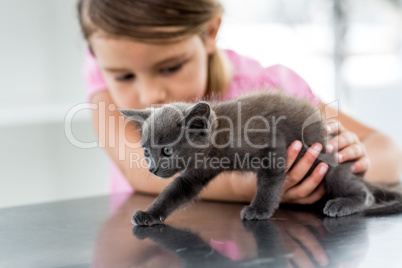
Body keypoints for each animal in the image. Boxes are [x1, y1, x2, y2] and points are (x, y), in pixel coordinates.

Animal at [119, 89, 402, 225]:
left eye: (167, 151)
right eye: (146, 151)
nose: (153, 168)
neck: (220, 138)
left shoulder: (273, 147)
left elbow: (268, 183)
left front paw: (259, 210)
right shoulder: (196, 172)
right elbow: (175, 191)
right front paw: (149, 214)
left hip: (327, 155)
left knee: (362, 192)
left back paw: (343, 203)